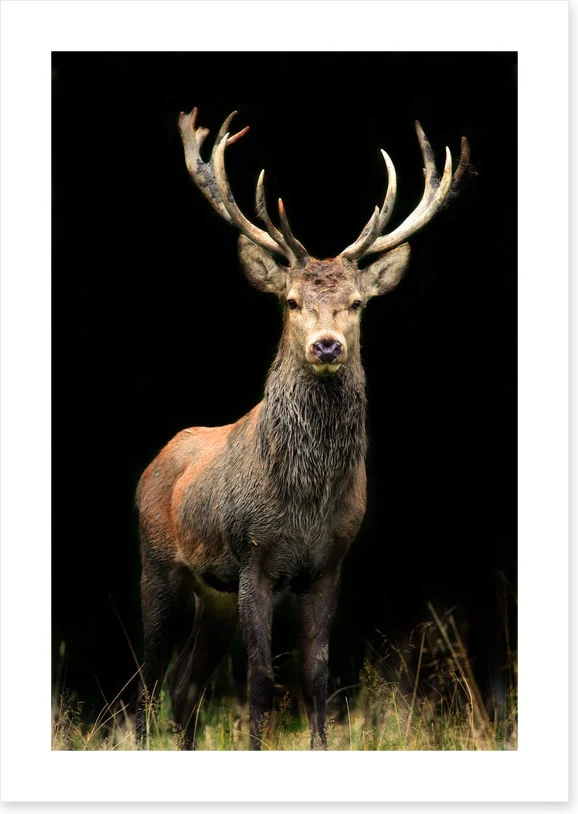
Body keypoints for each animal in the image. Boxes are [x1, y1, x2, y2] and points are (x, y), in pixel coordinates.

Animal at [135, 107, 470, 750]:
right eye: (290, 301)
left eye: (358, 303)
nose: (327, 345)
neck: (305, 501)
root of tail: (152, 463)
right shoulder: (253, 556)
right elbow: (262, 678)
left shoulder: (331, 562)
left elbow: (317, 673)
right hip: (159, 563)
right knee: (147, 675)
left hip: (212, 593)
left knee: (183, 685)